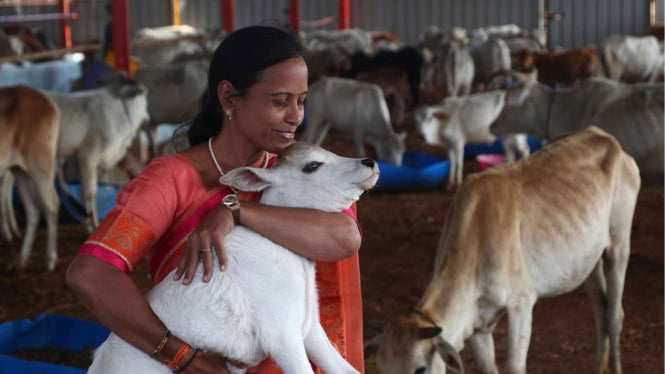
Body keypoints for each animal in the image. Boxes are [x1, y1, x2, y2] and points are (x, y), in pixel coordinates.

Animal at [370, 126, 640, 374]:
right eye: (381, 368)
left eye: (420, 369)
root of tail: (604, 136)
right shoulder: (478, 325)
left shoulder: (522, 304)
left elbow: (515, 367)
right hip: (588, 262)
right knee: (601, 311)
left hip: (619, 243)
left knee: (615, 315)